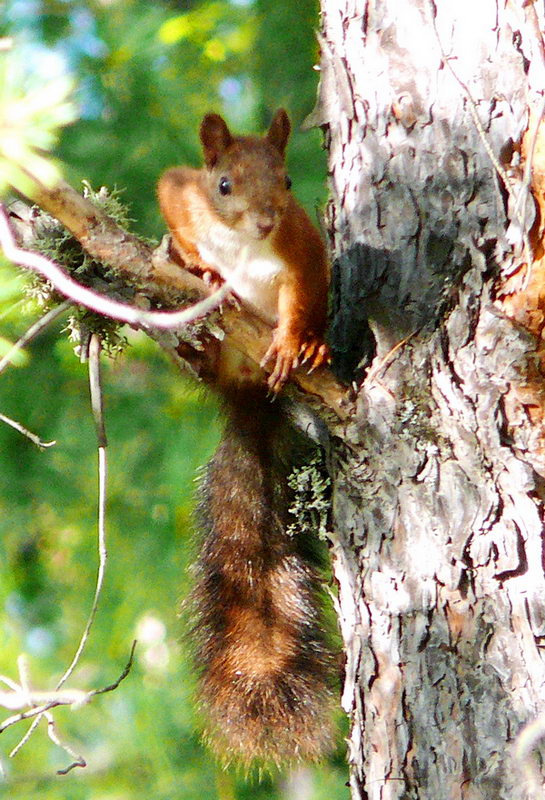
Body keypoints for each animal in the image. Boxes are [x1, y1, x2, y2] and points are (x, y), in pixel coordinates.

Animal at [157, 109, 335, 765]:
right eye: (225, 184)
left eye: (286, 181)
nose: (265, 221)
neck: (246, 243)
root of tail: (248, 398)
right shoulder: (183, 190)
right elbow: (171, 198)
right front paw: (201, 265)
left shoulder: (301, 247)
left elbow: (301, 293)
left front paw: (293, 341)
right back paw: (196, 342)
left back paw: (312, 348)